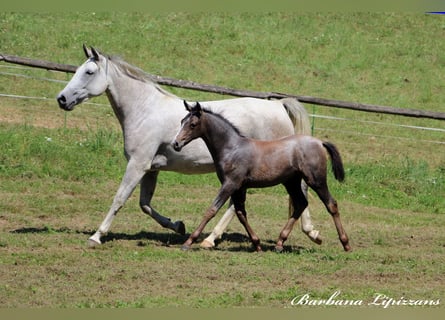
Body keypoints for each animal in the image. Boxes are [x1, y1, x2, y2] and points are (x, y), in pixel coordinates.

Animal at [172, 101, 348, 251]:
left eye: (193, 124)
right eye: (181, 121)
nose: (176, 144)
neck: (232, 148)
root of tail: (319, 142)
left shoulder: (230, 184)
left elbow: (212, 210)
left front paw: (189, 242)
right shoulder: (239, 187)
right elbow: (241, 213)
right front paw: (256, 244)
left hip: (316, 180)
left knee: (331, 204)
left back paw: (345, 244)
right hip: (291, 182)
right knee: (301, 204)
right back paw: (279, 243)